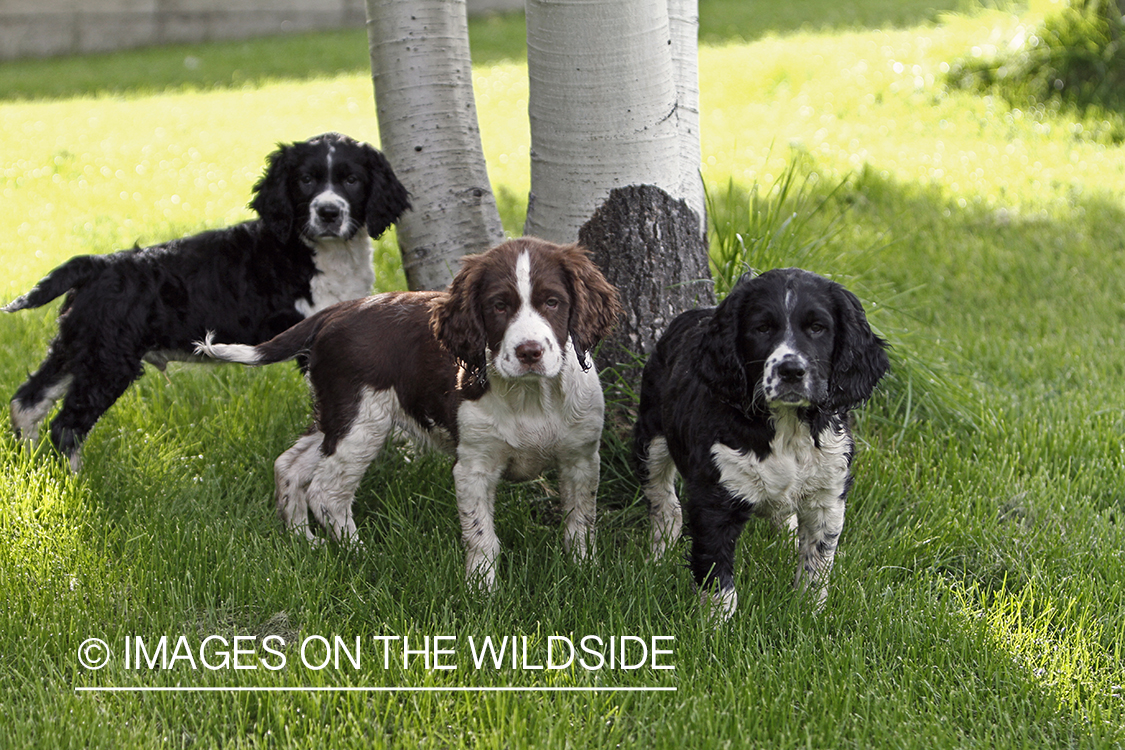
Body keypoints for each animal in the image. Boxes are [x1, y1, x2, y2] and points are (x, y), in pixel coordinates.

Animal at [4, 129, 409, 470]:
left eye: (352, 180)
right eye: (306, 180)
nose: (328, 212)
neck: (320, 253)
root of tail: (98, 263)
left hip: (80, 345)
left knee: (27, 401)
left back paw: (32, 465)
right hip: (108, 360)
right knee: (66, 425)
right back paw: (73, 477)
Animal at [198, 240, 621, 593]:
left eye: (553, 302)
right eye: (499, 306)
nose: (529, 352)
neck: (531, 395)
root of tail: (341, 309)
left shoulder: (581, 457)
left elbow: (581, 521)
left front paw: (586, 573)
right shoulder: (474, 464)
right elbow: (481, 534)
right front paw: (483, 592)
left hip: (336, 411)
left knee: (289, 466)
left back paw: (305, 540)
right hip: (361, 418)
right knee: (326, 491)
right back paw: (362, 554)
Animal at [634, 266, 886, 620]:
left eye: (818, 328)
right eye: (762, 328)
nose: (791, 370)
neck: (787, 428)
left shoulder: (828, 493)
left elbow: (817, 563)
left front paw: (809, 615)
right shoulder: (715, 497)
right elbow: (717, 575)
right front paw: (716, 627)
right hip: (651, 435)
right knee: (664, 503)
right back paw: (657, 560)